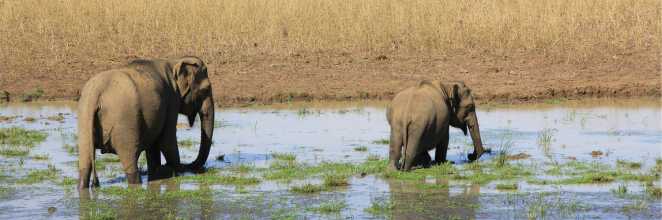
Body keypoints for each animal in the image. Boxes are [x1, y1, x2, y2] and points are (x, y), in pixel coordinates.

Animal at [77, 55, 215, 188]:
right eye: (205, 90)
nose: (188, 166)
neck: (174, 61)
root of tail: (97, 91)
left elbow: (154, 146)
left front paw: (156, 174)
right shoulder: (171, 99)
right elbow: (167, 141)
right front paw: (169, 169)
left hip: (84, 117)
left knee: (85, 161)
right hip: (124, 123)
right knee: (130, 161)